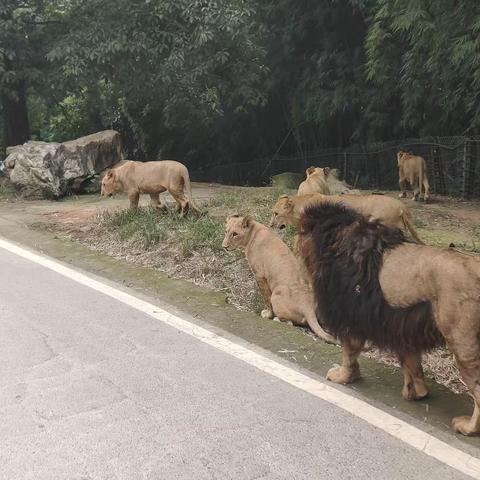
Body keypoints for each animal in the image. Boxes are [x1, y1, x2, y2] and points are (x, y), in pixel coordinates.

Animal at [223, 215, 336, 344]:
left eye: (235, 234)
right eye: (226, 232)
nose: (224, 246)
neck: (253, 232)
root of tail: (307, 307)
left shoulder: (260, 275)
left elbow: (266, 298)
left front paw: (268, 315)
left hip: (277, 293)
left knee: (290, 323)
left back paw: (276, 319)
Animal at [298, 201, 480, 436]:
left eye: (300, 233)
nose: (295, 242)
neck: (338, 239)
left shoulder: (350, 314)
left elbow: (349, 353)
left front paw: (343, 377)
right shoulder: (404, 327)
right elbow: (412, 364)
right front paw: (417, 393)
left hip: (462, 343)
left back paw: (467, 427)